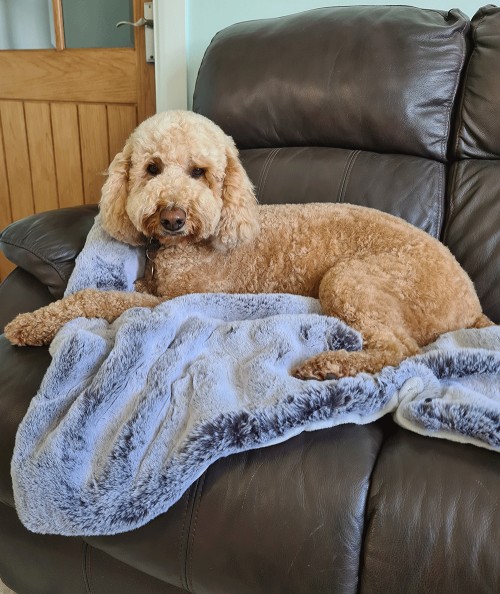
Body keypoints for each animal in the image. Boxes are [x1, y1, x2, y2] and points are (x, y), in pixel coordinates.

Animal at [5, 110, 492, 376]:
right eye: (152, 168)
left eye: (199, 172)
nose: (173, 218)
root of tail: (472, 304)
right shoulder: (156, 288)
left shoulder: (171, 301)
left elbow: (95, 297)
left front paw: (28, 323)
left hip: (352, 279)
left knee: (399, 350)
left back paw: (326, 366)